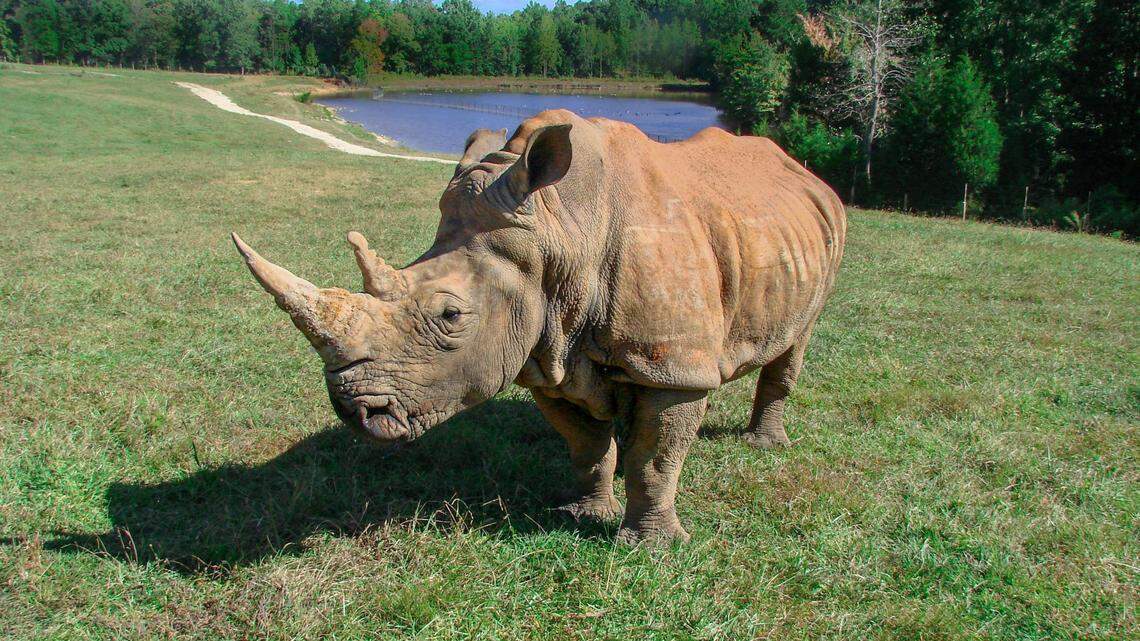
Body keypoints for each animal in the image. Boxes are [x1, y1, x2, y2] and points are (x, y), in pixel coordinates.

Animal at [232, 110, 846, 544]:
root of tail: (800, 168)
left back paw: (765, 445)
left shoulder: (670, 364)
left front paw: (652, 548)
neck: (558, 230)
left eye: (451, 316)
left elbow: (656, 456)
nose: (355, 413)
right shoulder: (544, 351)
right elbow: (587, 444)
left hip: (822, 233)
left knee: (796, 341)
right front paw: (584, 513)